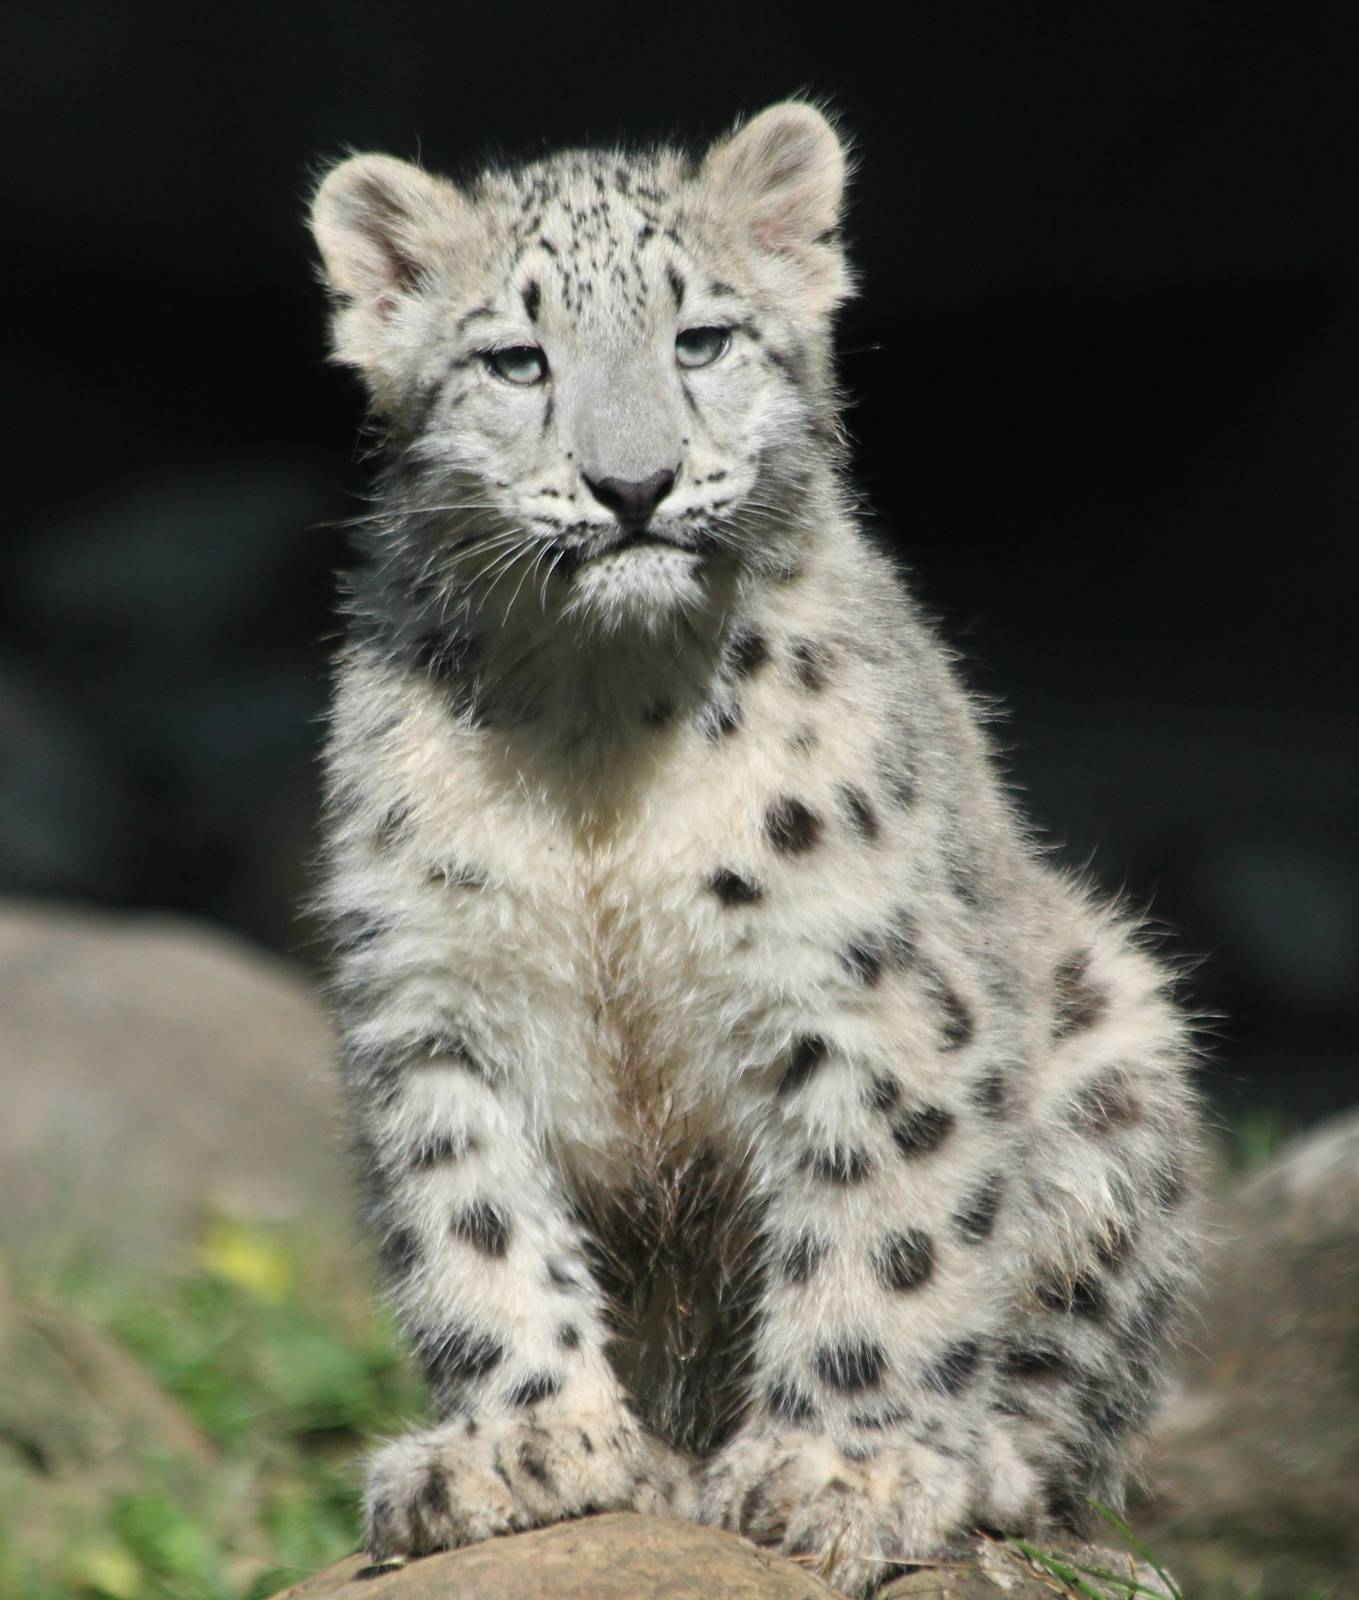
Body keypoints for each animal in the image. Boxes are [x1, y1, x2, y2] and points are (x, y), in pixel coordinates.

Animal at [307, 100, 1202, 1594]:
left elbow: (883, 1230)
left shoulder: (865, 986)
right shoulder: (434, 990)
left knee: (1071, 1420)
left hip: (1117, 1047)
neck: (601, 735)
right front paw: (520, 1446)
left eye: (701, 338)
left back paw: (972, 1461)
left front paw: (840, 1471)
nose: (632, 484)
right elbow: (476, 1220)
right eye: (515, 359)